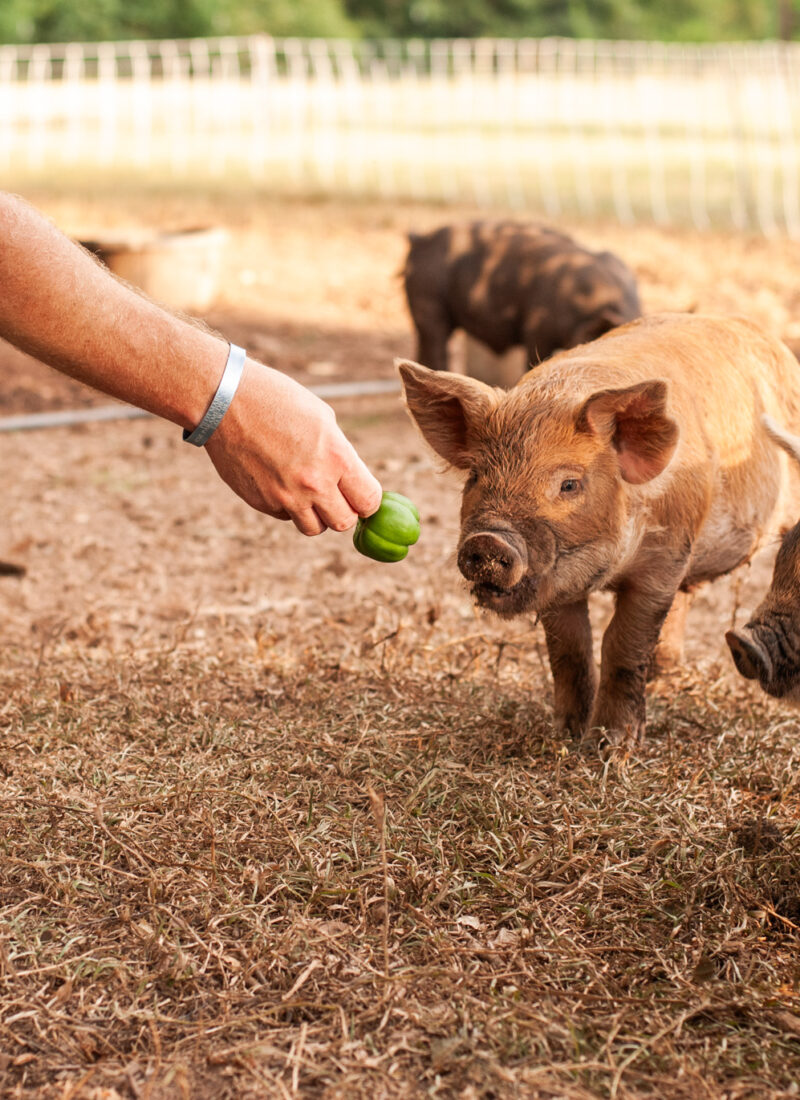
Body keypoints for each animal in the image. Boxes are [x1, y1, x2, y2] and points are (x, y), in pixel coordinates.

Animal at [402, 314, 800, 743]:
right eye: (475, 476)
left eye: (569, 485)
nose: (489, 540)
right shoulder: (557, 581)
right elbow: (569, 650)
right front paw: (565, 735)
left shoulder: (665, 557)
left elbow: (622, 643)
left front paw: (613, 743)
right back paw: (662, 678)